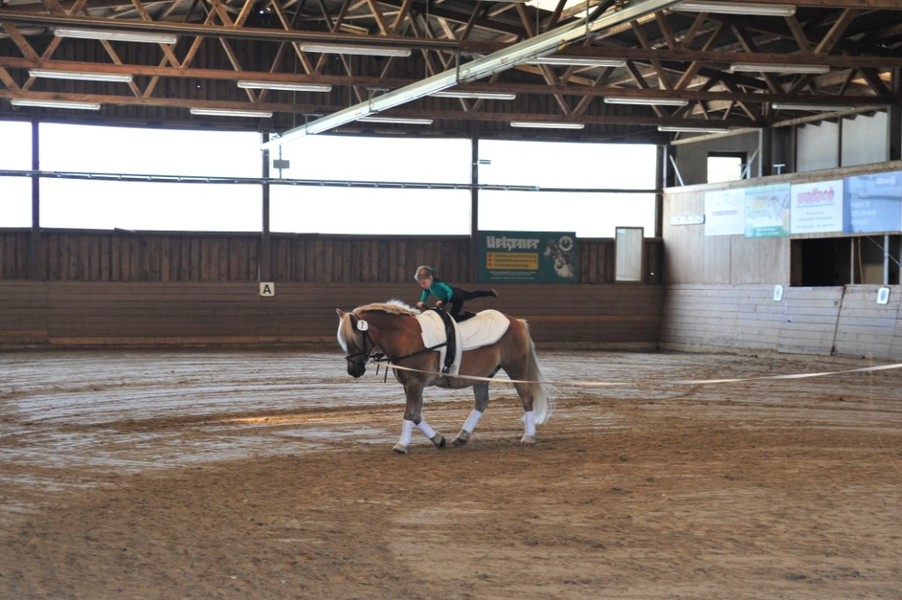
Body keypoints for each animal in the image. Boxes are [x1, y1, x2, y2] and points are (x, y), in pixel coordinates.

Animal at [336, 300, 556, 454]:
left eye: (356, 339)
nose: (353, 370)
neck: (406, 337)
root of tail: (516, 321)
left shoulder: (415, 383)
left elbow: (409, 414)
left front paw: (401, 445)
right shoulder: (410, 385)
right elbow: (417, 415)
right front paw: (439, 439)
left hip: (516, 368)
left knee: (526, 398)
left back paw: (529, 436)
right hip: (482, 376)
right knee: (482, 402)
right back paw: (462, 437)